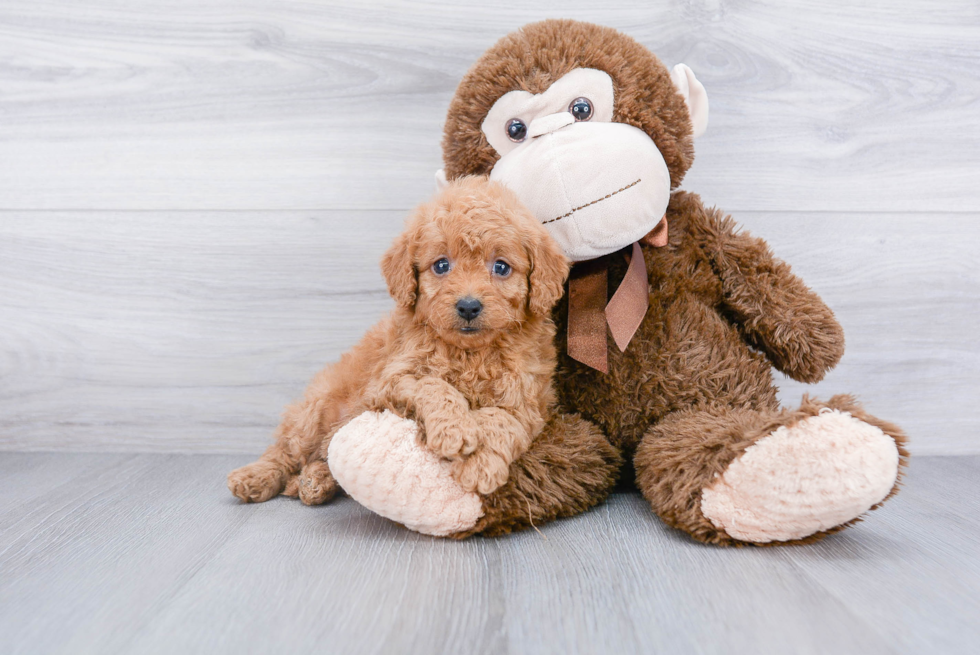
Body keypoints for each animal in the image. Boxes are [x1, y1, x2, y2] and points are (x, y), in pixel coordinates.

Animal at [228, 177, 568, 504]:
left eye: (501, 267)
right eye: (441, 265)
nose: (469, 306)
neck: (470, 354)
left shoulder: (528, 402)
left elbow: (502, 419)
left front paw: (480, 464)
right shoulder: (388, 383)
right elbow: (434, 384)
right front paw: (455, 430)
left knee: (324, 457)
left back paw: (315, 482)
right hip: (314, 412)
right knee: (286, 451)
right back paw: (255, 477)